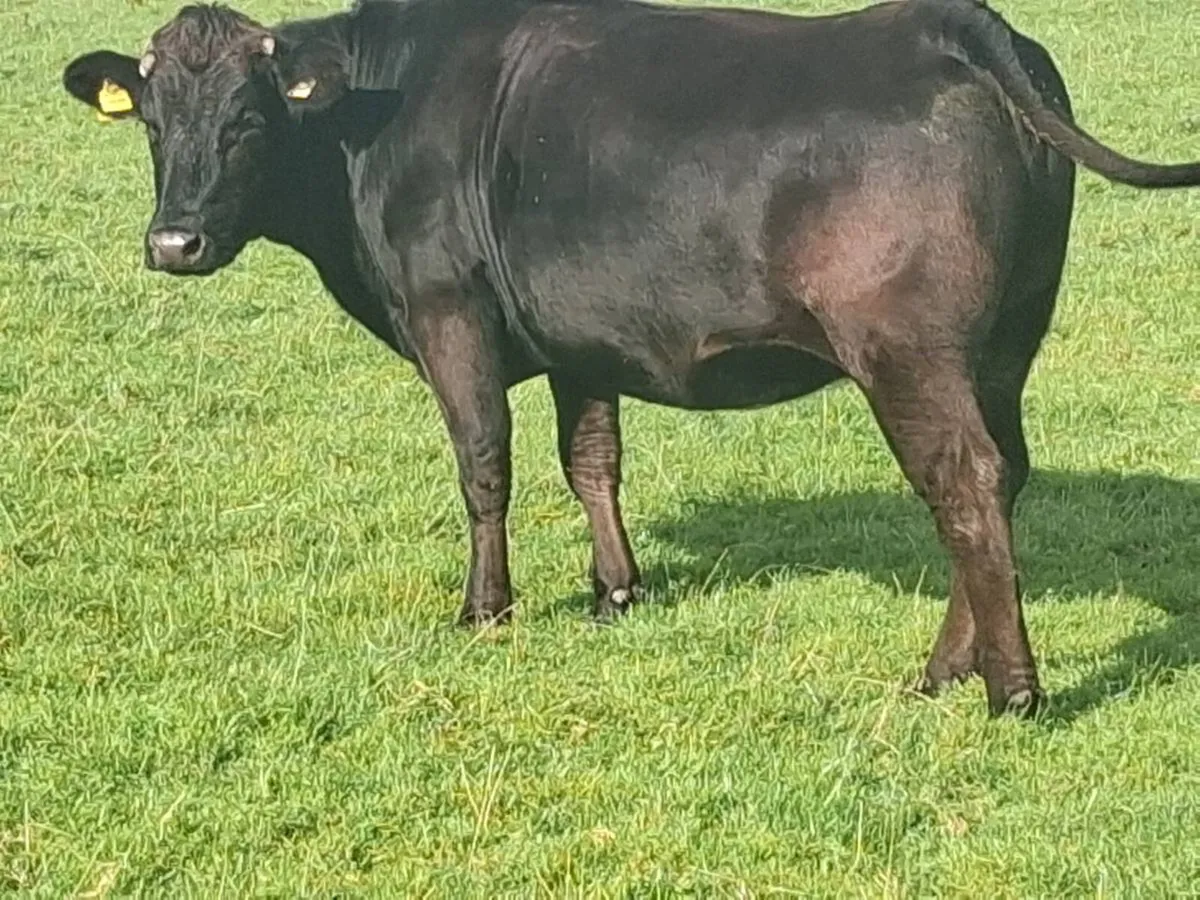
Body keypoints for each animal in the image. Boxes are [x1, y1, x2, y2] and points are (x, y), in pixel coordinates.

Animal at [62, 0, 1200, 718]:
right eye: (153, 123)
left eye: (250, 120)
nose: (173, 243)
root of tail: (943, 22)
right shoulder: (580, 332)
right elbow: (592, 460)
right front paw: (616, 592)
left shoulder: (449, 313)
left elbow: (485, 465)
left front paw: (486, 610)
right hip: (1006, 342)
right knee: (1004, 476)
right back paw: (952, 671)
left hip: (909, 353)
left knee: (961, 484)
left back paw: (1006, 690)